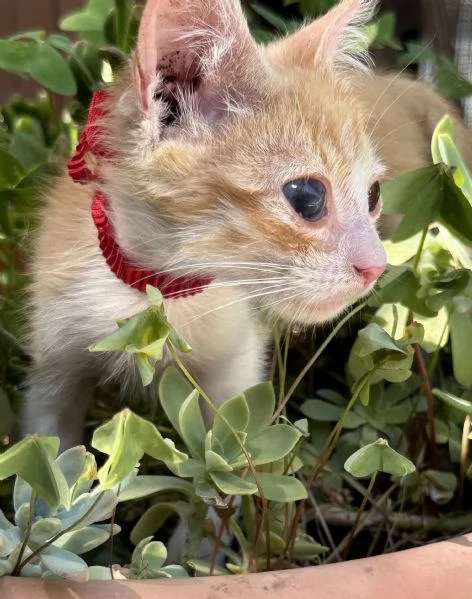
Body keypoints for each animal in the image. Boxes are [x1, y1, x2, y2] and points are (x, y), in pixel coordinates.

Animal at [23, 0, 472, 450]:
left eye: (374, 194)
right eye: (307, 197)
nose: (375, 267)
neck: (157, 290)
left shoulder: (236, 367)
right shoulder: (52, 361)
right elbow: (46, 448)